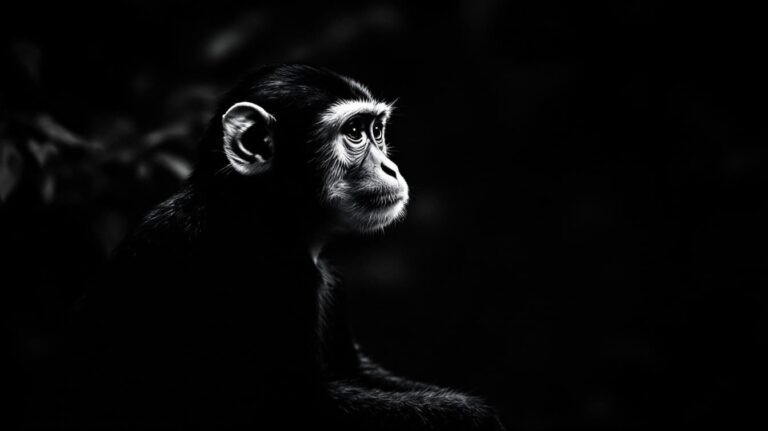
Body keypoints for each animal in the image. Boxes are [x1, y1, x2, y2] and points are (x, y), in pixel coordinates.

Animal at [66, 64, 504, 430]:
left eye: (377, 130)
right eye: (354, 132)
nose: (390, 167)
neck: (263, 214)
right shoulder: (270, 275)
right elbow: (298, 408)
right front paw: (474, 417)